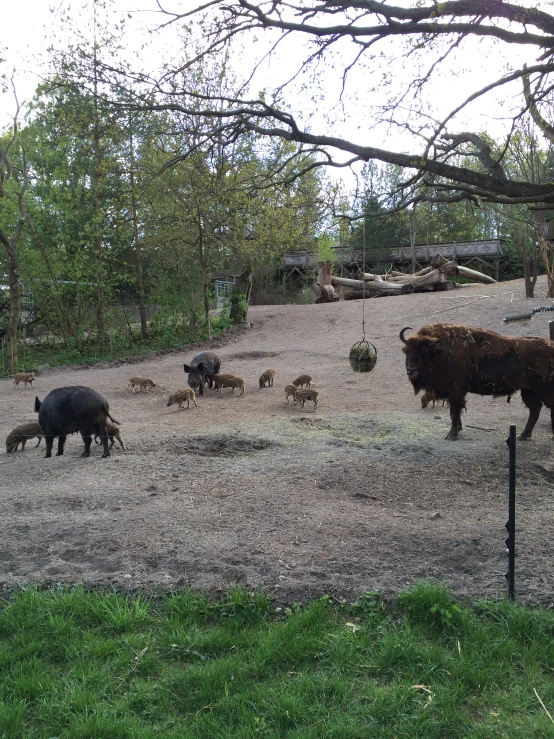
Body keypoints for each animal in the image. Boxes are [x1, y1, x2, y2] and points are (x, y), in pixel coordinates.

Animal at [398, 322, 552, 440]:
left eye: (424, 352)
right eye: (406, 351)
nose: (411, 371)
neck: (440, 351)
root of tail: (551, 347)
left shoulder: (455, 392)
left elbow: (454, 413)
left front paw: (451, 435)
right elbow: (457, 413)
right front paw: (457, 431)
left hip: (543, 390)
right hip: (528, 391)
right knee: (535, 410)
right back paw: (522, 436)